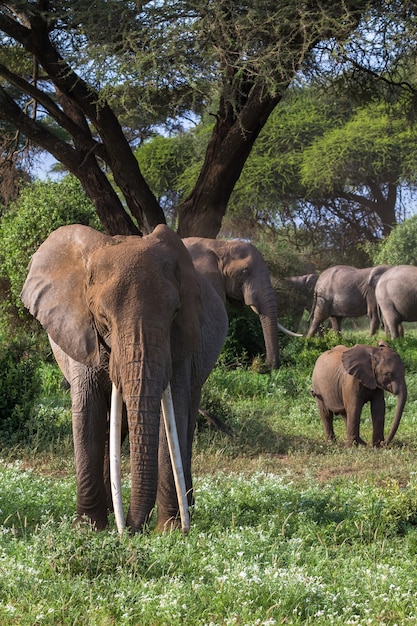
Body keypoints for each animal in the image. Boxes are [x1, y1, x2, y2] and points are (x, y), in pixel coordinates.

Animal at [20, 223, 226, 532]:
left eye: (175, 312)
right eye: (102, 316)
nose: (130, 529)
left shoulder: (180, 343)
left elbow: (174, 414)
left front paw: (169, 530)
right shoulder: (80, 333)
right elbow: (87, 412)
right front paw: (89, 528)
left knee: (186, 419)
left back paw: (186, 508)